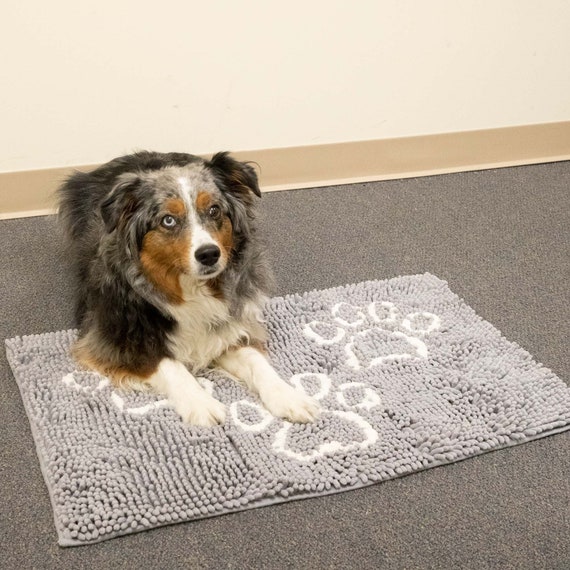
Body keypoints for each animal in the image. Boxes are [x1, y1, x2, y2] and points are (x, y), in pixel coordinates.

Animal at [60, 151, 320, 426]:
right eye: (168, 220)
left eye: (214, 210)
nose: (209, 254)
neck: (190, 290)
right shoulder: (109, 340)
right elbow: (168, 365)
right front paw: (201, 403)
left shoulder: (231, 324)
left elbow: (256, 361)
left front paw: (289, 396)